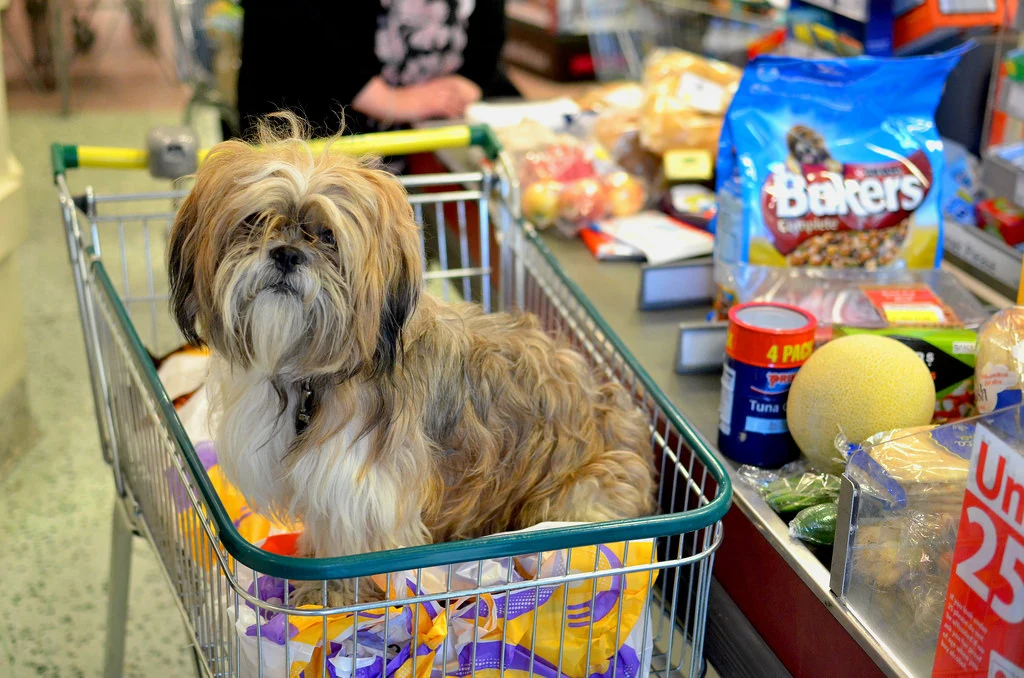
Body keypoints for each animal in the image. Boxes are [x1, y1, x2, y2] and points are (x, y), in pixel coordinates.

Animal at [163, 115, 651, 606]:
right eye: (254, 221)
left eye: (328, 237)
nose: (286, 254)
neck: (313, 375)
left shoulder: (364, 494)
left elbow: (349, 555)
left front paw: (335, 599)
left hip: (577, 501)